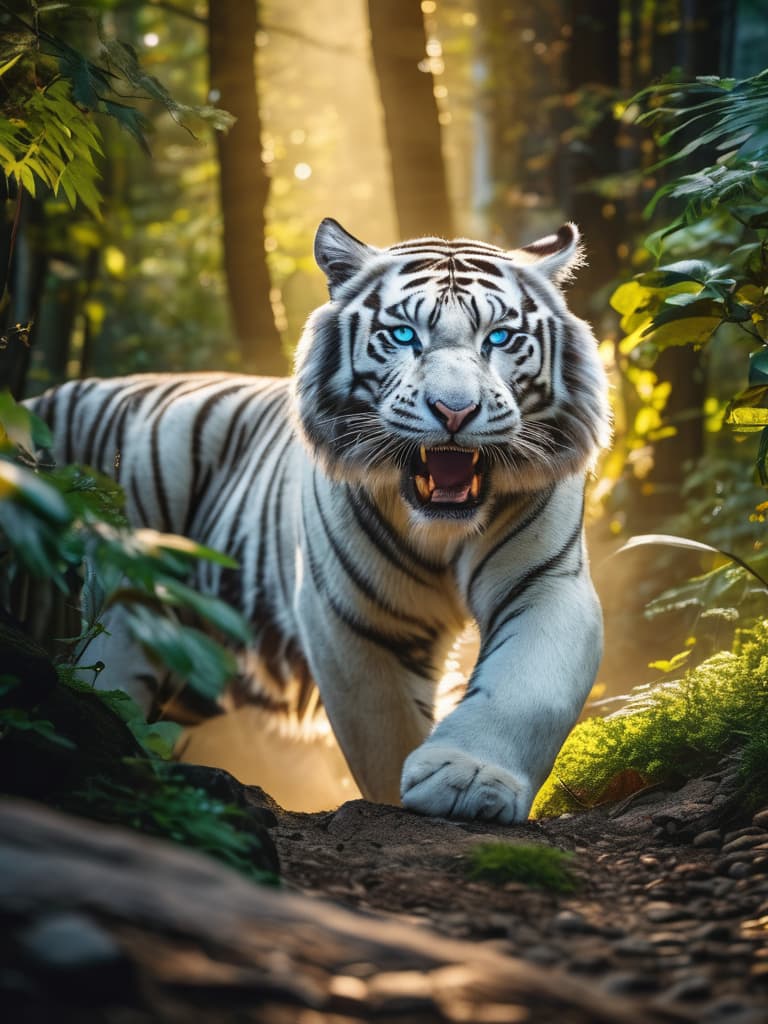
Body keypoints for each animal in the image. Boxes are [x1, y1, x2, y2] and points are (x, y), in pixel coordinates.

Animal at [31, 218, 614, 823]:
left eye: (498, 338)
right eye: (404, 335)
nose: (455, 411)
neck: (440, 526)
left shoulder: (545, 580)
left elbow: (529, 686)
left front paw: (469, 779)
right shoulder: (354, 616)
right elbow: (386, 729)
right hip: (125, 608)